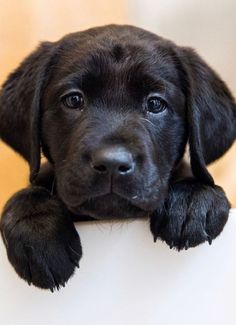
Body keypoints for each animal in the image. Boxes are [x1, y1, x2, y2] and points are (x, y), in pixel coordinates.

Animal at [0, 24, 236, 290]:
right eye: (73, 99)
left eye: (155, 104)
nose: (112, 163)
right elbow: (28, 193)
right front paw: (38, 229)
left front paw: (192, 199)